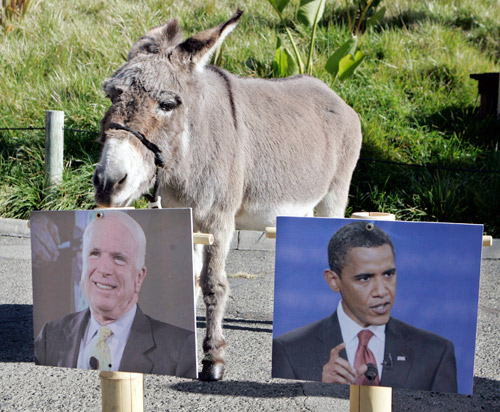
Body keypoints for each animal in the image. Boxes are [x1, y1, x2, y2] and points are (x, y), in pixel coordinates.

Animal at [93, 9, 362, 381]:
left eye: (167, 104)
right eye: (110, 96)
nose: (107, 184)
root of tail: (332, 94)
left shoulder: (219, 220)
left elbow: (212, 284)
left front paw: (213, 358)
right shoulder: (187, 218)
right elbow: (188, 279)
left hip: (333, 195)